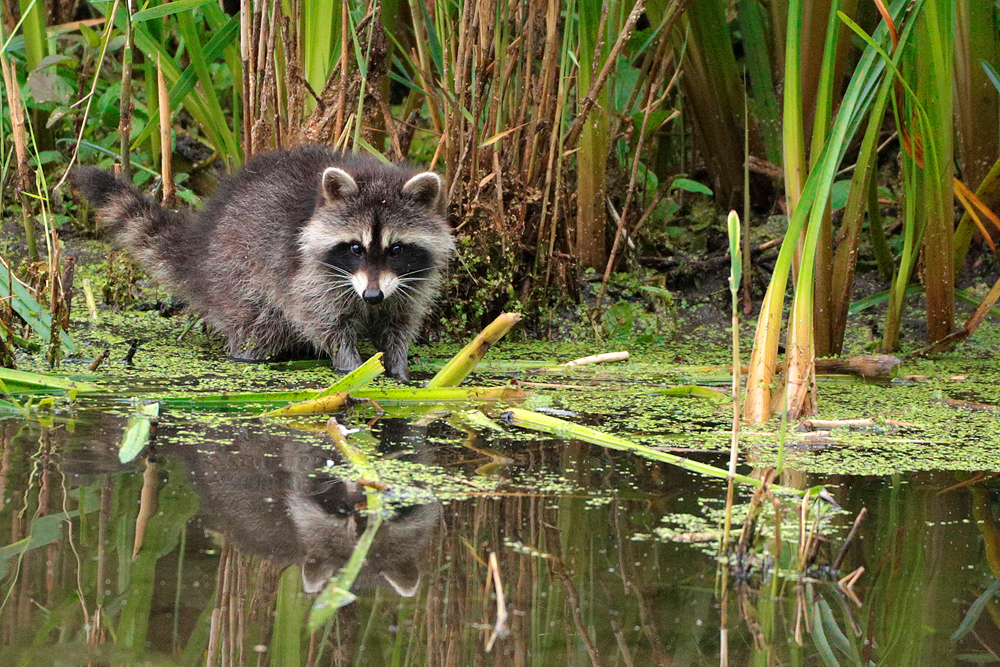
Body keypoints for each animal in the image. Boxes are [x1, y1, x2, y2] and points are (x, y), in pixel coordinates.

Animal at [74, 146, 454, 380]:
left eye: (396, 249)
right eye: (355, 248)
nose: (372, 297)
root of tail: (203, 246)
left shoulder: (408, 284)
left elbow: (398, 327)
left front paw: (399, 371)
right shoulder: (309, 276)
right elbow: (325, 324)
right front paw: (350, 369)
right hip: (236, 273)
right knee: (257, 330)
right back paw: (247, 356)